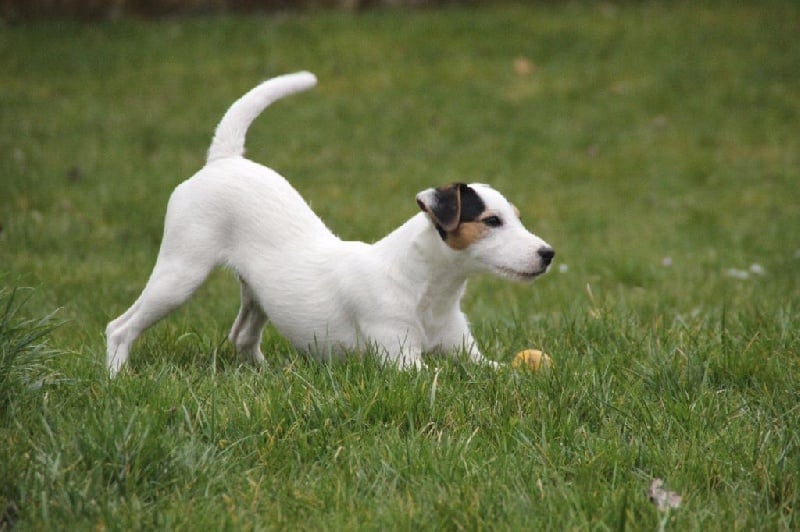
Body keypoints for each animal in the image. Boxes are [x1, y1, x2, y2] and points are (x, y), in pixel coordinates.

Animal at [106, 72, 554, 375]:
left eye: (516, 217)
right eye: (492, 221)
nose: (548, 253)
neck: (428, 289)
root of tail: (224, 160)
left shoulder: (466, 352)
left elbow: (496, 372)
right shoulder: (402, 360)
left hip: (256, 293)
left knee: (242, 336)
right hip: (180, 273)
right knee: (120, 327)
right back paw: (117, 377)